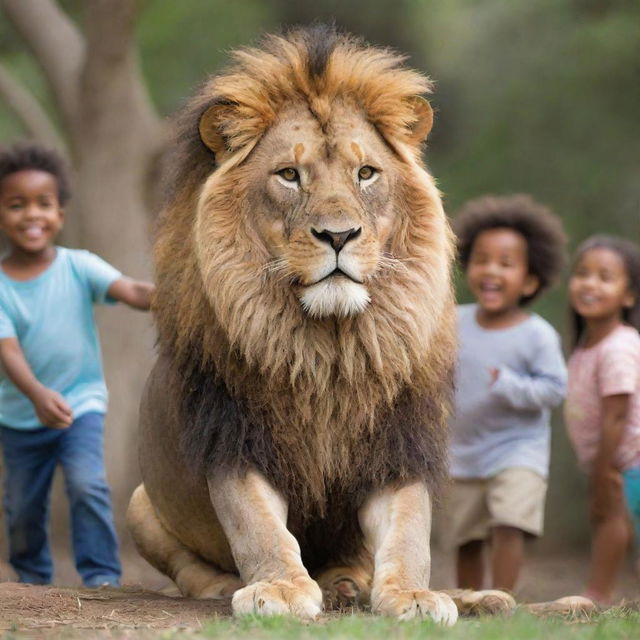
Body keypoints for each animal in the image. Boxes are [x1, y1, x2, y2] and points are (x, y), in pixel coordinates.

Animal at [125, 26, 516, 624]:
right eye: (289, 175)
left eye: (366, 173)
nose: (338, 235)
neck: (330, 349)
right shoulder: (235, 434)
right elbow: (258, 525)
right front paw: (280, 588)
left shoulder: (397, 442)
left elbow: (410, 532)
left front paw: (414, 595)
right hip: (139, 504)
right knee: (189, 566)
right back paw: (226, 584)